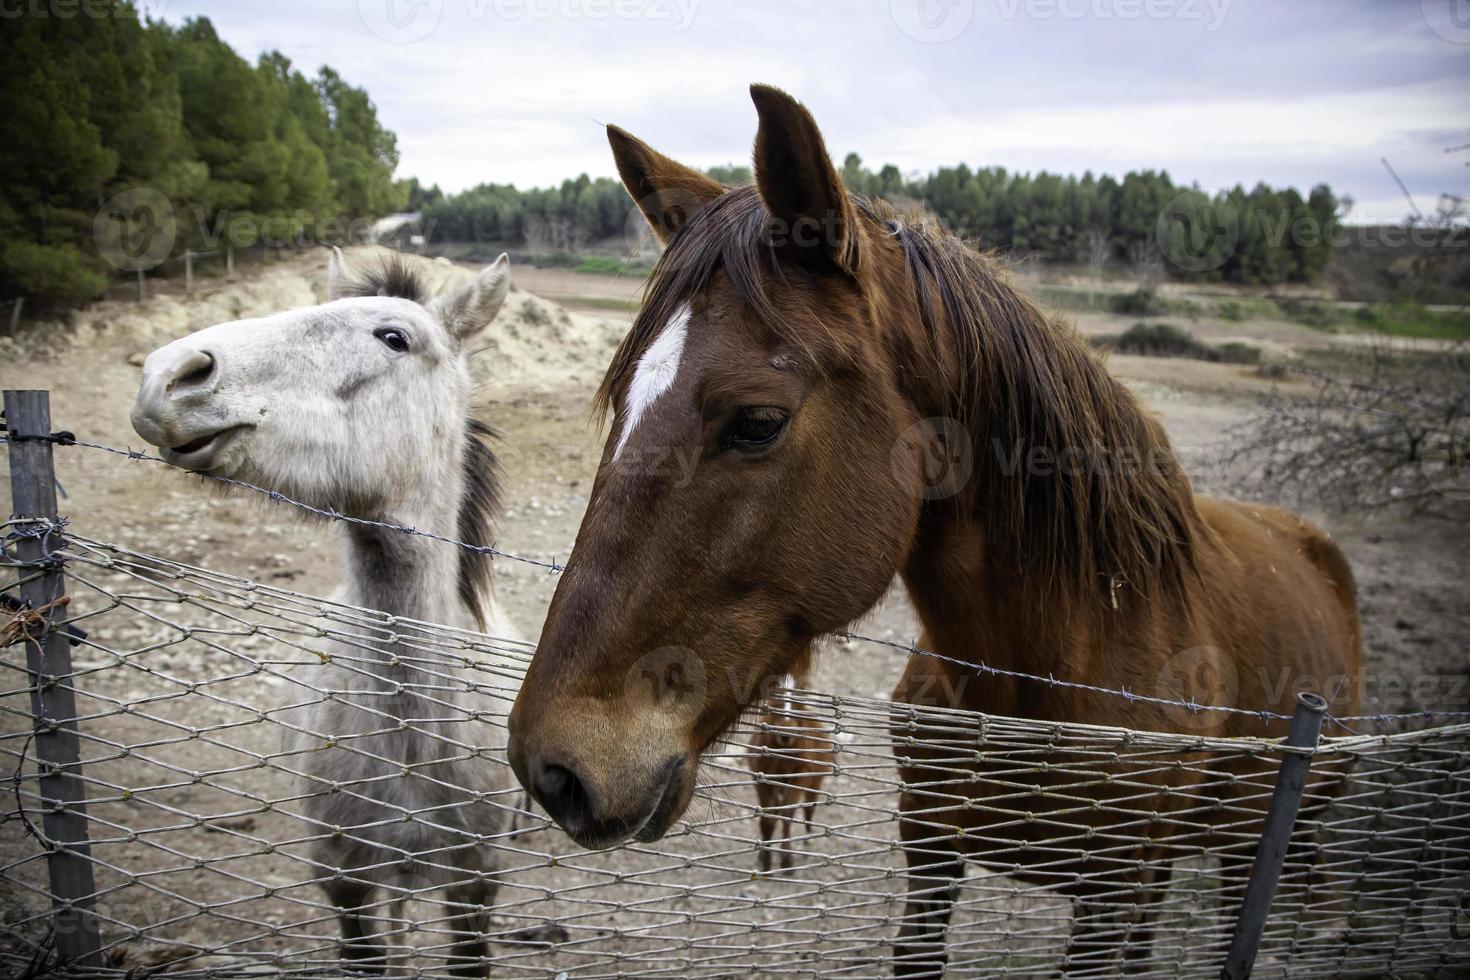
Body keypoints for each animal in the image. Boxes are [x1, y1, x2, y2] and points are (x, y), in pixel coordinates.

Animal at [508, 86, 1364, 975]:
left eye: (757, 422)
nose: (553, 767)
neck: (1041, 683)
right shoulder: (931, 854)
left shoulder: (1109, 891)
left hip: (1234, 851)